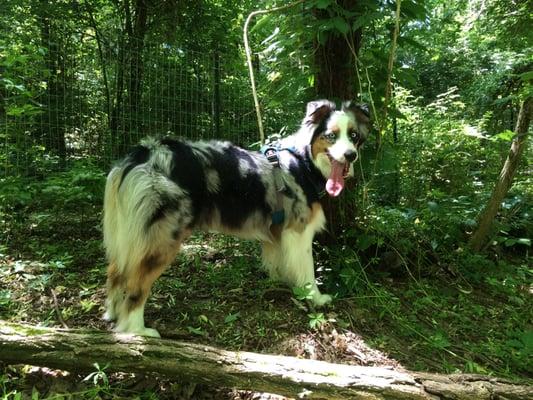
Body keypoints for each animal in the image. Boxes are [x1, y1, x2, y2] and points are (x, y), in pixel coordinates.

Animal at [102, 98, 368, 336]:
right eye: (331, 136)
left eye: (354, 136)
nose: (351, 155)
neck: (304, 162)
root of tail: (144, 153)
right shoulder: (298, 230)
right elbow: (308, 271)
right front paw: (316, 298)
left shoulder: (276, 233)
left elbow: (278, 263)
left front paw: (281, 284)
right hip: (163, 238)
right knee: (135, 284)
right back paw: (137, 330)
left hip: (126, 235)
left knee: (115, 272)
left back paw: (113, 314)